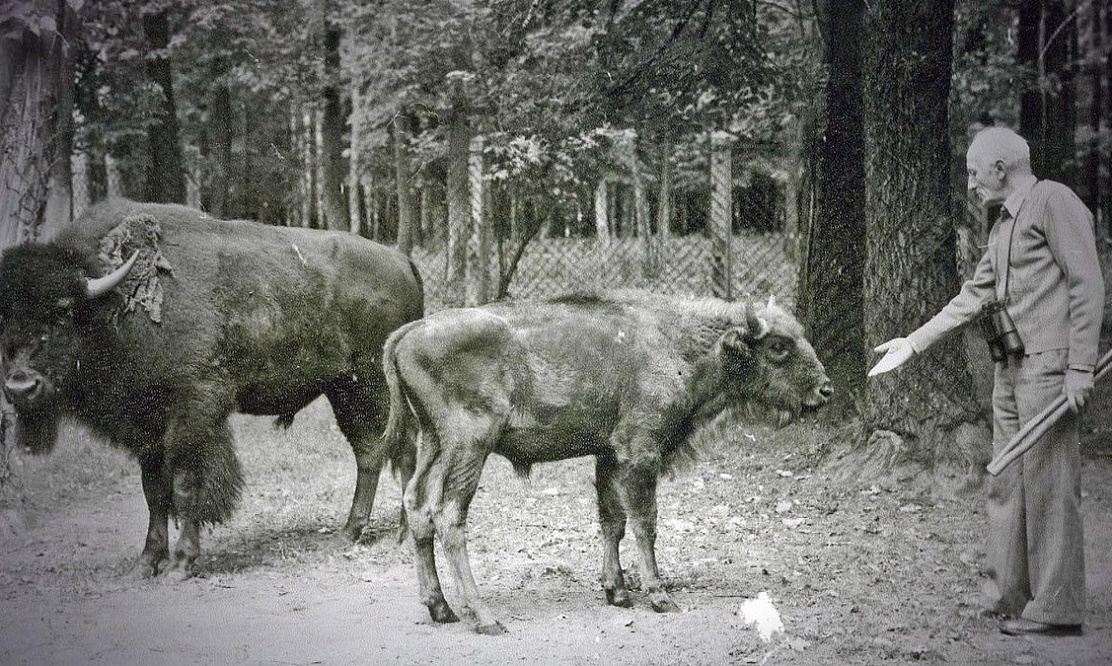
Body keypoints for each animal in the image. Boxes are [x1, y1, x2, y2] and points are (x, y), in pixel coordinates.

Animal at [0, 199, 422, 578]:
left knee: (400, 450)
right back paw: (348, 532)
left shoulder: (194, 409)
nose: (21, 386)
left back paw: (403, 533)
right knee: (369, 452)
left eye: (63, 311)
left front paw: (182, 563)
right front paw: (146, 562)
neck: (110, 305)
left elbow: (187, 484)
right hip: (344, 390)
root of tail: (402, 262)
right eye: (3, 318)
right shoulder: (146, 429)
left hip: (374, 387)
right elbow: (154, 491)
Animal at [382, 293, 827, 635]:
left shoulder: (608, 456)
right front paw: (660, 596)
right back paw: (484, 617)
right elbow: (645, 524)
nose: (826, 390)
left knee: (416, 505)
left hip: (433, 442)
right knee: (448, 515)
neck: (677, 344)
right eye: (778, 346)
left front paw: (617, 592)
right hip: (469, 446)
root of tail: (409, 332)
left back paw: (441, 608)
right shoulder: (641, 453)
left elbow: (613, 521)